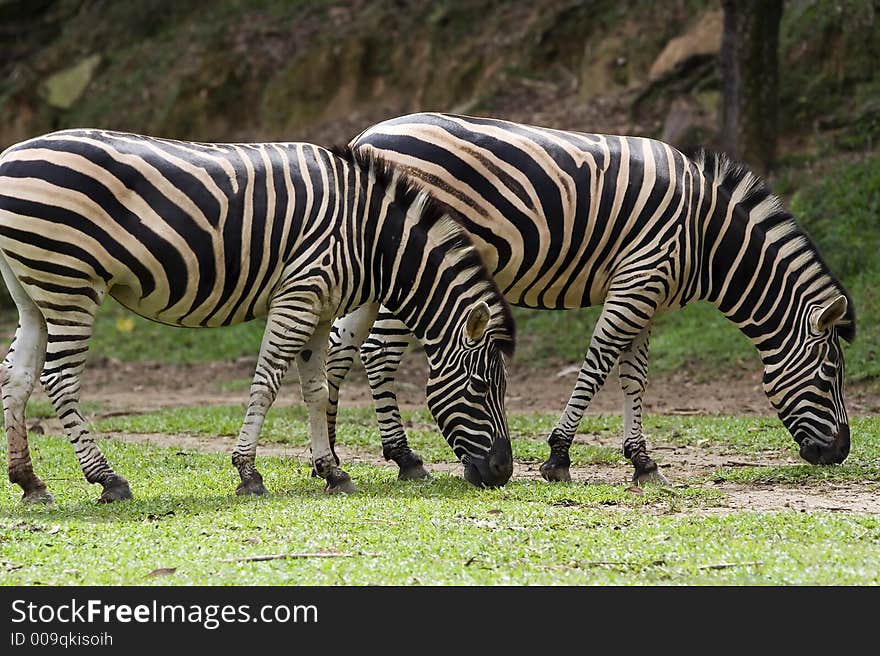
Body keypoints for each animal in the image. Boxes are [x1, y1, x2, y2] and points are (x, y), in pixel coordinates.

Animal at [0, 131, 516, 504]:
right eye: (479, 387)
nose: (503, 471)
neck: (370, 238)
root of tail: (9, 155)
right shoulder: (300, 293)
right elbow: (267, 383)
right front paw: (248, 473)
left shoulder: (321, 306)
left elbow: (315, 389)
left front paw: (332, 471)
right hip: (70, 283)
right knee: (59, 380)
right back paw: (109, 480)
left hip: (33, 292)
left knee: (17, 376)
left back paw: (30, 483)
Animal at [324, 111, 852, 482]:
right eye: (830, 374)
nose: (841, 451)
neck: (707, 236)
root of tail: (365, 137)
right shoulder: (638, 280)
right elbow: (597, 366)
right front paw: (558, 457)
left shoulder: (647, 295)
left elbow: (634, 378)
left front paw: (642, 462)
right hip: (412, 269)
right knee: (378, 353)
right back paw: (405, 459)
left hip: (375, 273)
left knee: (340, 347)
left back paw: (333, 455)